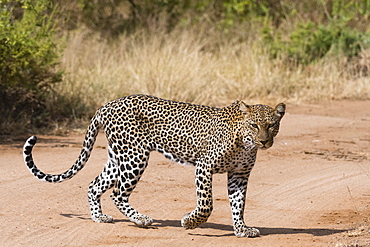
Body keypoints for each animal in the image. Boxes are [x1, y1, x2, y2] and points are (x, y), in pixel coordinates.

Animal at [23, 94, 286, 237]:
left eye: (272, 125)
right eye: (254, 125)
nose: (264, 141)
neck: (244, 143)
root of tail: (107, 105)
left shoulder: (239, 175)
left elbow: (238, 205)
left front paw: (242, 230)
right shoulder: (204, 166)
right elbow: (206, 205)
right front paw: (189, 222)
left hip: (118, 157)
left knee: (94, 185)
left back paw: (100, 218)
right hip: (135, 157)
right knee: (117, 193)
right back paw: (141, 220)